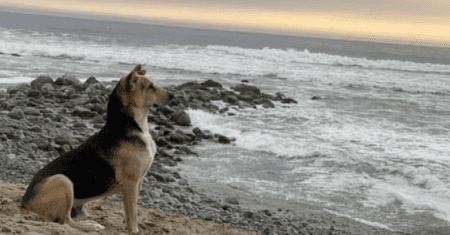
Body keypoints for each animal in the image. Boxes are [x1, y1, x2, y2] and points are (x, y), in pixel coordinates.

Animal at [19, 64, 171, 233]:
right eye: (150, 87)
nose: (172, 96)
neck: (134, 126)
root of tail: (24, 202)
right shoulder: (130, 183)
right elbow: (132, 212)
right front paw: (133, 230)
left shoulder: (139, 181)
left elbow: (132, 209)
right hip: (63, 180)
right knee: (66, 221)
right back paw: (91, 225)